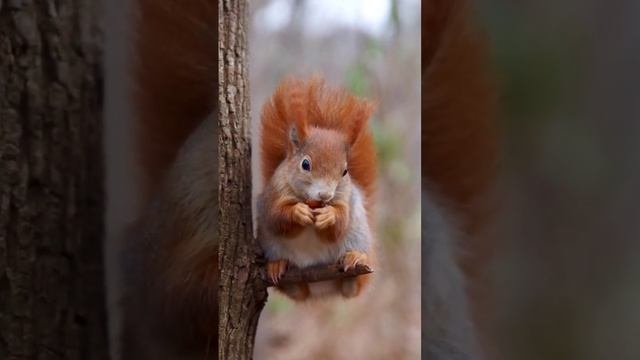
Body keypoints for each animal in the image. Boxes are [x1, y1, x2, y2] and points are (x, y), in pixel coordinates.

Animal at [255, 76, 376, 300]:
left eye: (345, 171)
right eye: (305, 164)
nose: (325, 195)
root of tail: (321, 287)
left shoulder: (345, 199)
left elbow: (339, 224)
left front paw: (329, 216)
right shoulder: (274, 193)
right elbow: (276, 216)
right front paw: (297, 211)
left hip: (358, 237)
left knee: (353, 286)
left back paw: (354, 259)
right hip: (273, 248)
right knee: (295, 289)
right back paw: (278, 265)